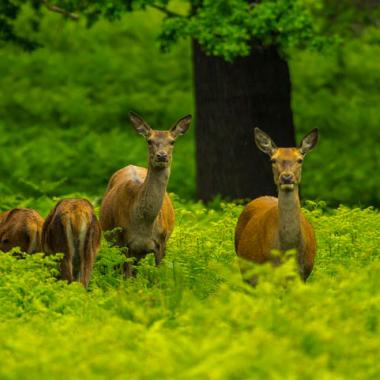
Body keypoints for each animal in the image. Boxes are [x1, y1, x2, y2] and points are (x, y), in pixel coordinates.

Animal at [99, 110, 191, 276]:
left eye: (172, 141)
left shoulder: (162, 243)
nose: (162, 155)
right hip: (112, 241)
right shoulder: (124, 243)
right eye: (149, 141)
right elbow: (126, 277)